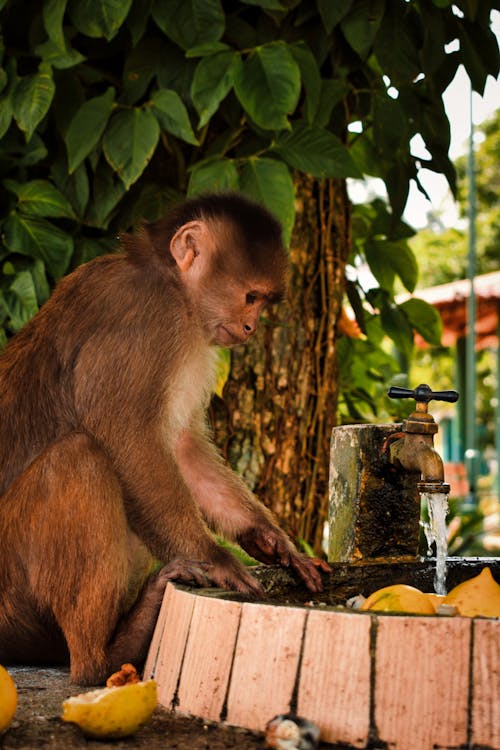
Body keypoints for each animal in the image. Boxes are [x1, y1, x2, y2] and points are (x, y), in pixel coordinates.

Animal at [0, 194, 330, 688]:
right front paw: (215, 557)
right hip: (11, 587)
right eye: (251, 297)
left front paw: (269, 539)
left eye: (262, 302)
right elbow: (128, 437)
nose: (251, 328)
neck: (170, 283)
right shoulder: (149, 324)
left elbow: (181, 447)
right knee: (79, 457)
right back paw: (103, 655)